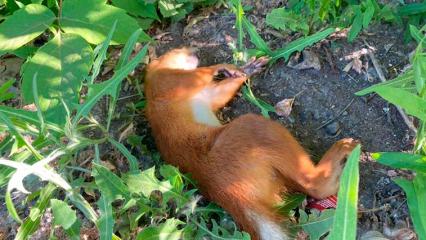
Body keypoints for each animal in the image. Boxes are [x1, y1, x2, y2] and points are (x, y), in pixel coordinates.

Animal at [144, 47, 360, 240]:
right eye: (174, 50)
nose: (194, 51)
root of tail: (229, 193)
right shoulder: (169, 81)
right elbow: (198, 75)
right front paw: (224, 68)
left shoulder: (205, 96)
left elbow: (221, 94)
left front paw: (247, 69)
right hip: (253, 129)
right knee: (314, 185)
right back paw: (343, 151)